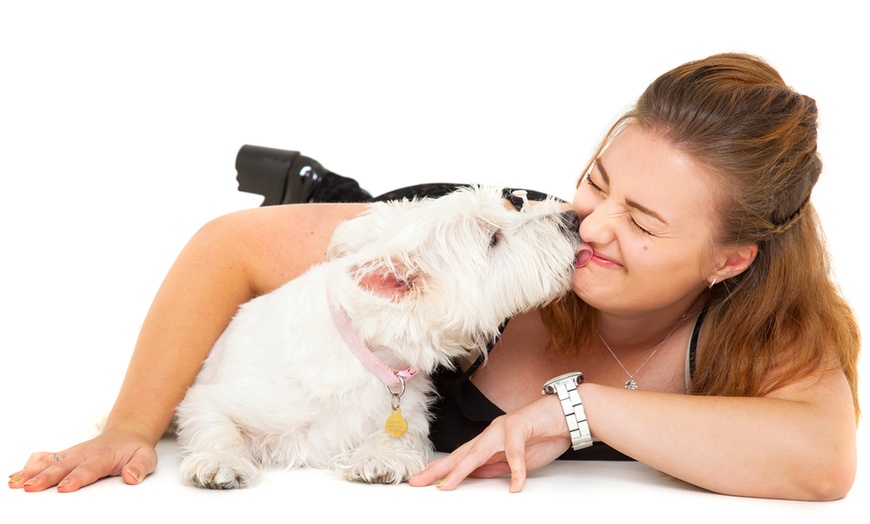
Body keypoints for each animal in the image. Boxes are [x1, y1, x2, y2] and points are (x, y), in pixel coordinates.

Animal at [174, 186, 584, 490]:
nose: (573, 219)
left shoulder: (411, 411)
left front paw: (380, 460)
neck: (370, 353)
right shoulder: (210, 398)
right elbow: (219, 426)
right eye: (493, 239)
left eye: (513, 203)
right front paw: (220, 465)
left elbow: (397, 438)